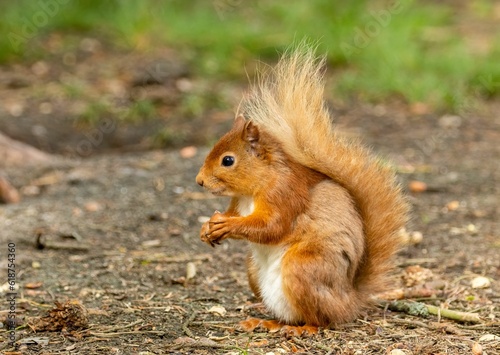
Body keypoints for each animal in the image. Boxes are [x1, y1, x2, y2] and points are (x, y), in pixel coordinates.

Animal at [193, 46, 408, 336]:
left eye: (228, 160)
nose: (199, 181)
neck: (255, 187)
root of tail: (349, 299)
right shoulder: (238, 201)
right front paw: (207, 228)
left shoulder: (285, 193)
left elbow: (272, 226)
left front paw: (226, 225)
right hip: (253, 271)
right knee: (288, 315)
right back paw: (264, 321)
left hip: (302, 269)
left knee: (322, 319)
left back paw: (304, 329)